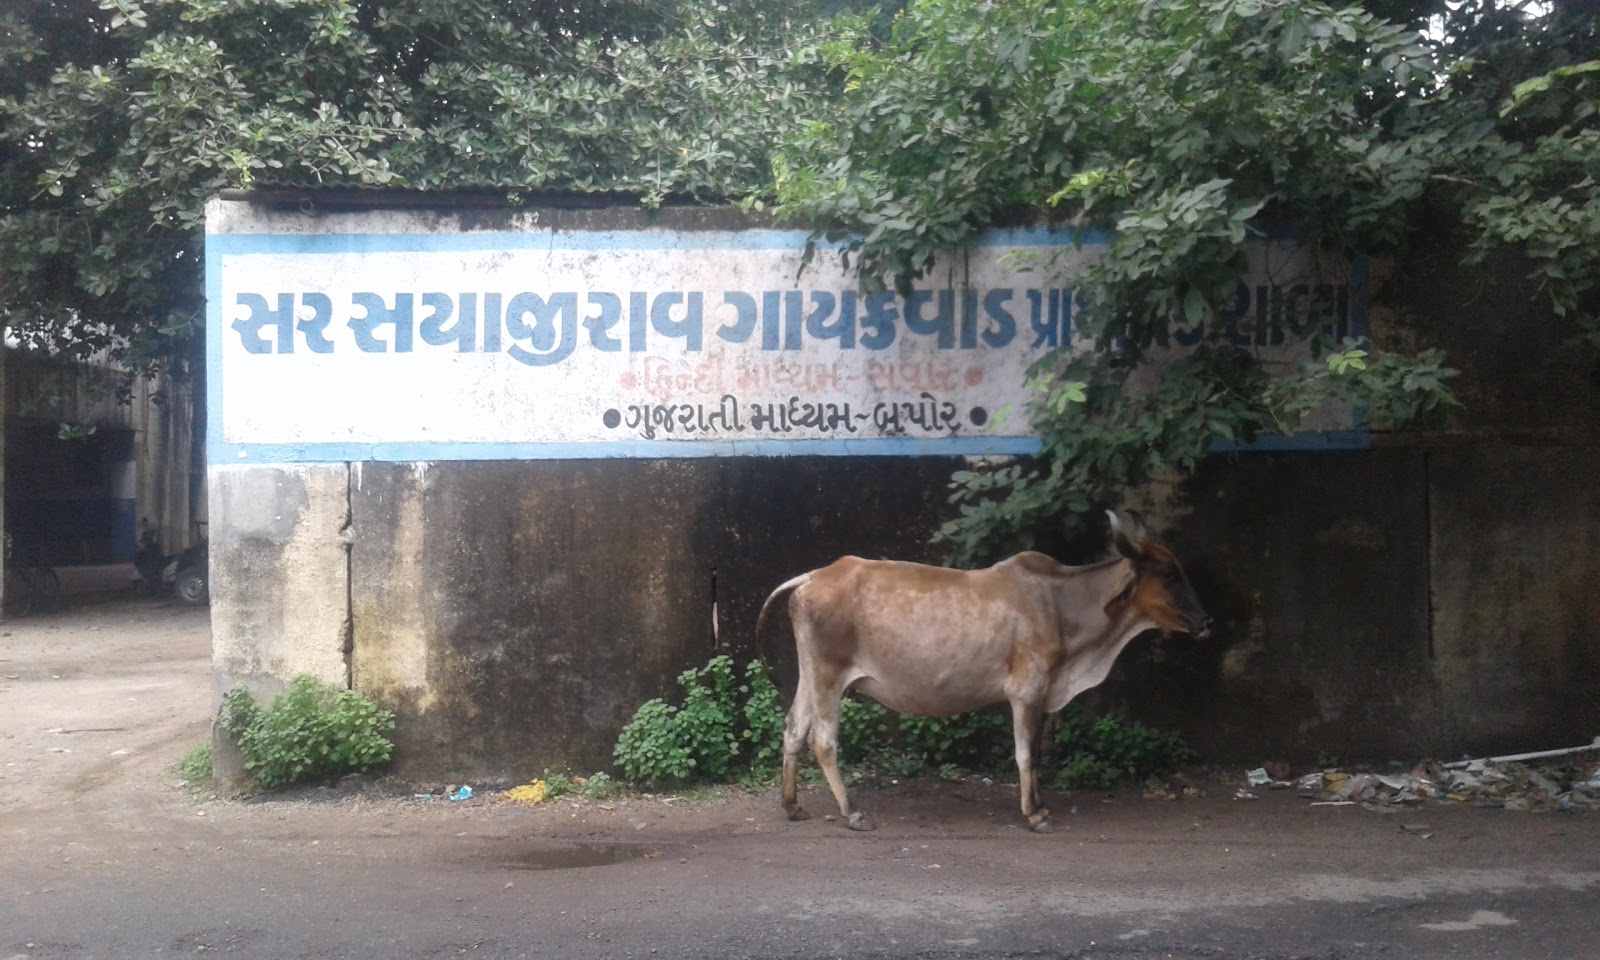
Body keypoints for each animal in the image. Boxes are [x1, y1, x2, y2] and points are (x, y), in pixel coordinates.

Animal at [756, 510, 1211, 833]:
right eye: (1168, 574)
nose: (1206, 622)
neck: (1062, 604)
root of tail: (813, 576)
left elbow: (1036, 753)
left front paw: (1040, 804)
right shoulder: (1028, 692)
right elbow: (1027, 754)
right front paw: (1034, 815)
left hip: (811, 675)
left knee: (794, 728)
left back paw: (792, 806)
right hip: (829, 677)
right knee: (823, 740)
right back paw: (852, 813)